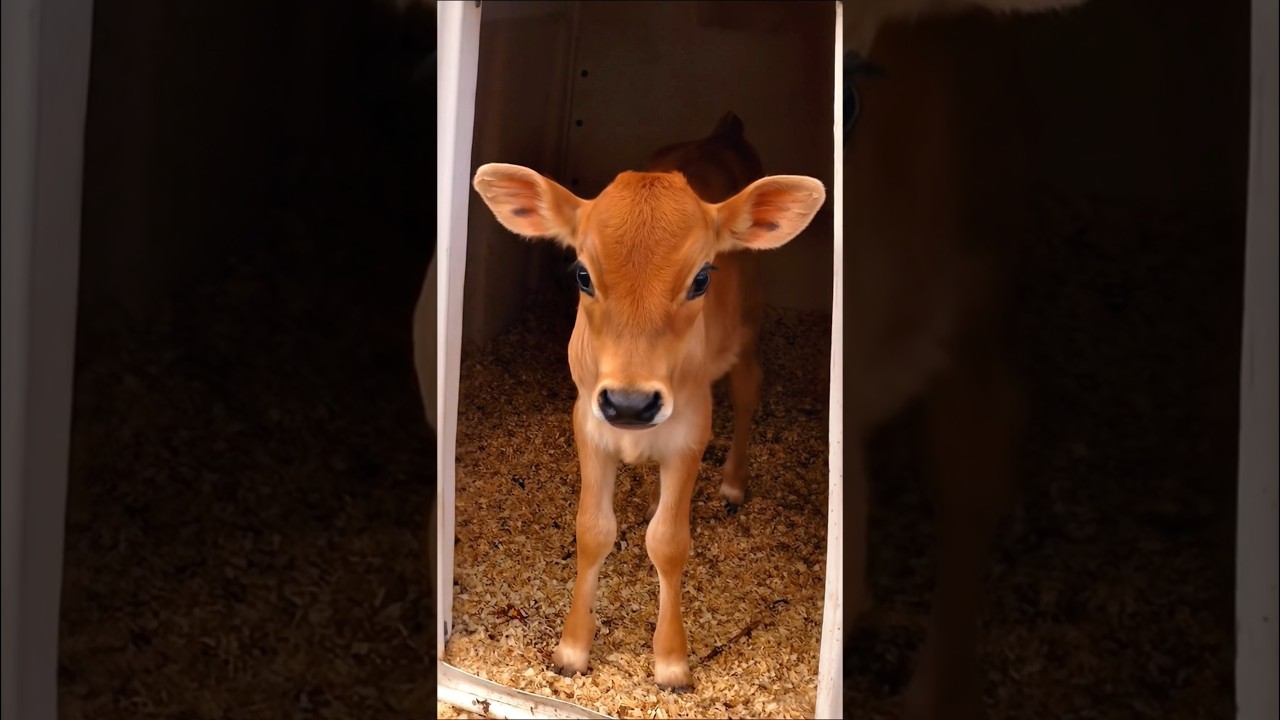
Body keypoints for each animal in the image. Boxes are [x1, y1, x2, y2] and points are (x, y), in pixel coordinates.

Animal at [470, 113, 826, 691]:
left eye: (702, 277)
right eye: (582, 273)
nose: (631, 404)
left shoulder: (691, 431)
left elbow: (669, 541)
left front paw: (672, 660)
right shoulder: (588, 421)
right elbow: (592, 531)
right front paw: (572, 648)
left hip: (748, 330)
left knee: (748, 390)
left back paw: (733, 482)